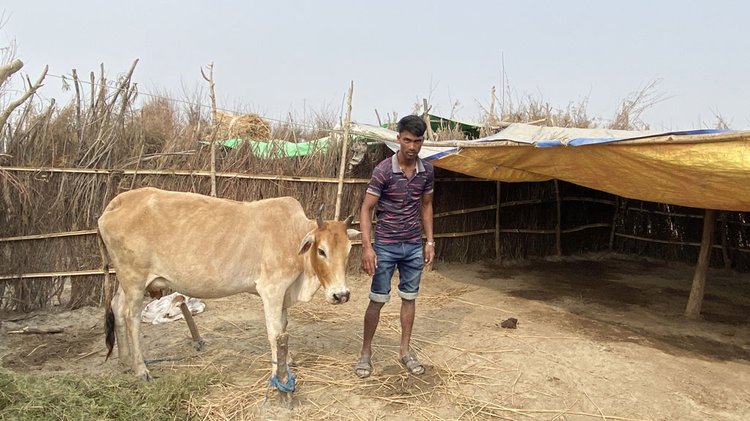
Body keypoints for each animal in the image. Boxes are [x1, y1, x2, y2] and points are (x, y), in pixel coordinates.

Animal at [98, 187, 359, 384]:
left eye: (348, 250)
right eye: (322, 250)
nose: (341, 295)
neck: (293, 238)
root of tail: (118, 202)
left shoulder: (283, 293)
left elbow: (283, 328)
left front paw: (288, 359)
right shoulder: (272, 289)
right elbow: (275, 332)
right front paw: (278, 373)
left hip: (126, 280)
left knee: (117, 308)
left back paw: (124, 362)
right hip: (135, 279)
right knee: (131, 317)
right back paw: (141, 369)